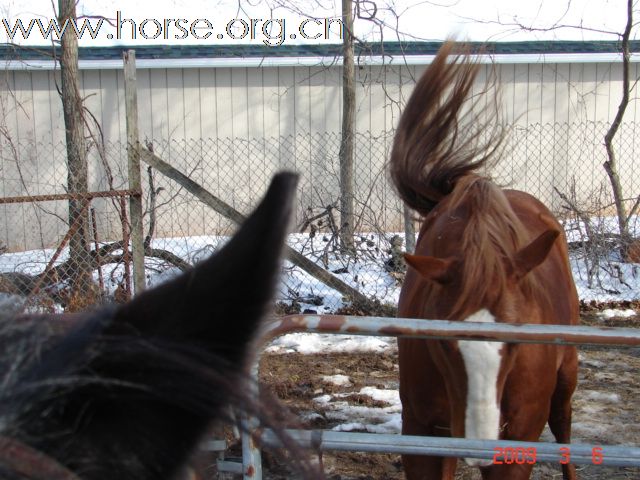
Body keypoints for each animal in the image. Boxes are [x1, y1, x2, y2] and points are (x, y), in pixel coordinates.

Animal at [390, 42, 580, 480]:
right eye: (442, 343)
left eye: (516, 341)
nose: (479, 440)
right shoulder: (423, 433)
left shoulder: (518, 439)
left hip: (567, 375)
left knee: (563, 424)